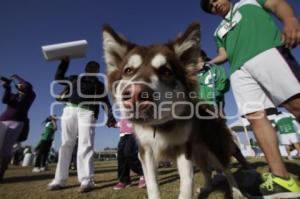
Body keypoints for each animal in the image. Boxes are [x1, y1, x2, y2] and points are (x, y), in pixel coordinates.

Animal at [102, 22, 243, 198]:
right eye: (128, 71)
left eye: (166, 71)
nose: (135, 94)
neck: (160, 126)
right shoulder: (145, 150)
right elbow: (152, 185)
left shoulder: (184, 149)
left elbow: (187, 183)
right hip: (198, 151)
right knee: (205, 169)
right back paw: (207, 188)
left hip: (213, 147)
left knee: (225, 168)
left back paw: (236, 191)